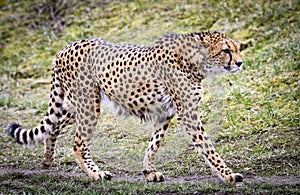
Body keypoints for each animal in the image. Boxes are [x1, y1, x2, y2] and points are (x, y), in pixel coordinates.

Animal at [7, 31, 244, 184]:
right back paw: (96, 174)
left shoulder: (165, 113)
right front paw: (227, 175)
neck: (196, 62)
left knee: (55, 123)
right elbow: (207, 146)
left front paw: (149, 171)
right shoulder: (187, 113)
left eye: (237, 49)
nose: (240, 63)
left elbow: (154, 144)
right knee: (78, 144)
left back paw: (48, 159)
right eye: (226, 50)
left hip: (83, 104)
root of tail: (65, 48)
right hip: (88, 105)